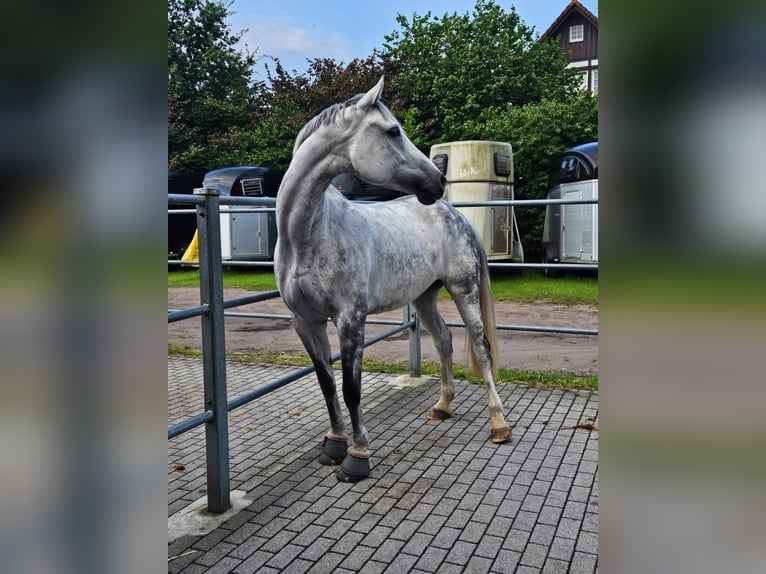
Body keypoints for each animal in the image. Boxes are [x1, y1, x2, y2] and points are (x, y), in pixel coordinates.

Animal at [272, 76, 512, 482]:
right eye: (393, 131)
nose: (438, 180)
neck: (306, 235)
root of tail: (456, 214)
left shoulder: (351, 320)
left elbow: (351, 388)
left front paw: (357, 456)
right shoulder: (306, 322)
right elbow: (326, 383)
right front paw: (333, 445)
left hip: (464, 289)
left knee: (482, 349)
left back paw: (499, 425)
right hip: (425, 297)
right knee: (444, 341)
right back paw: (442, 406)